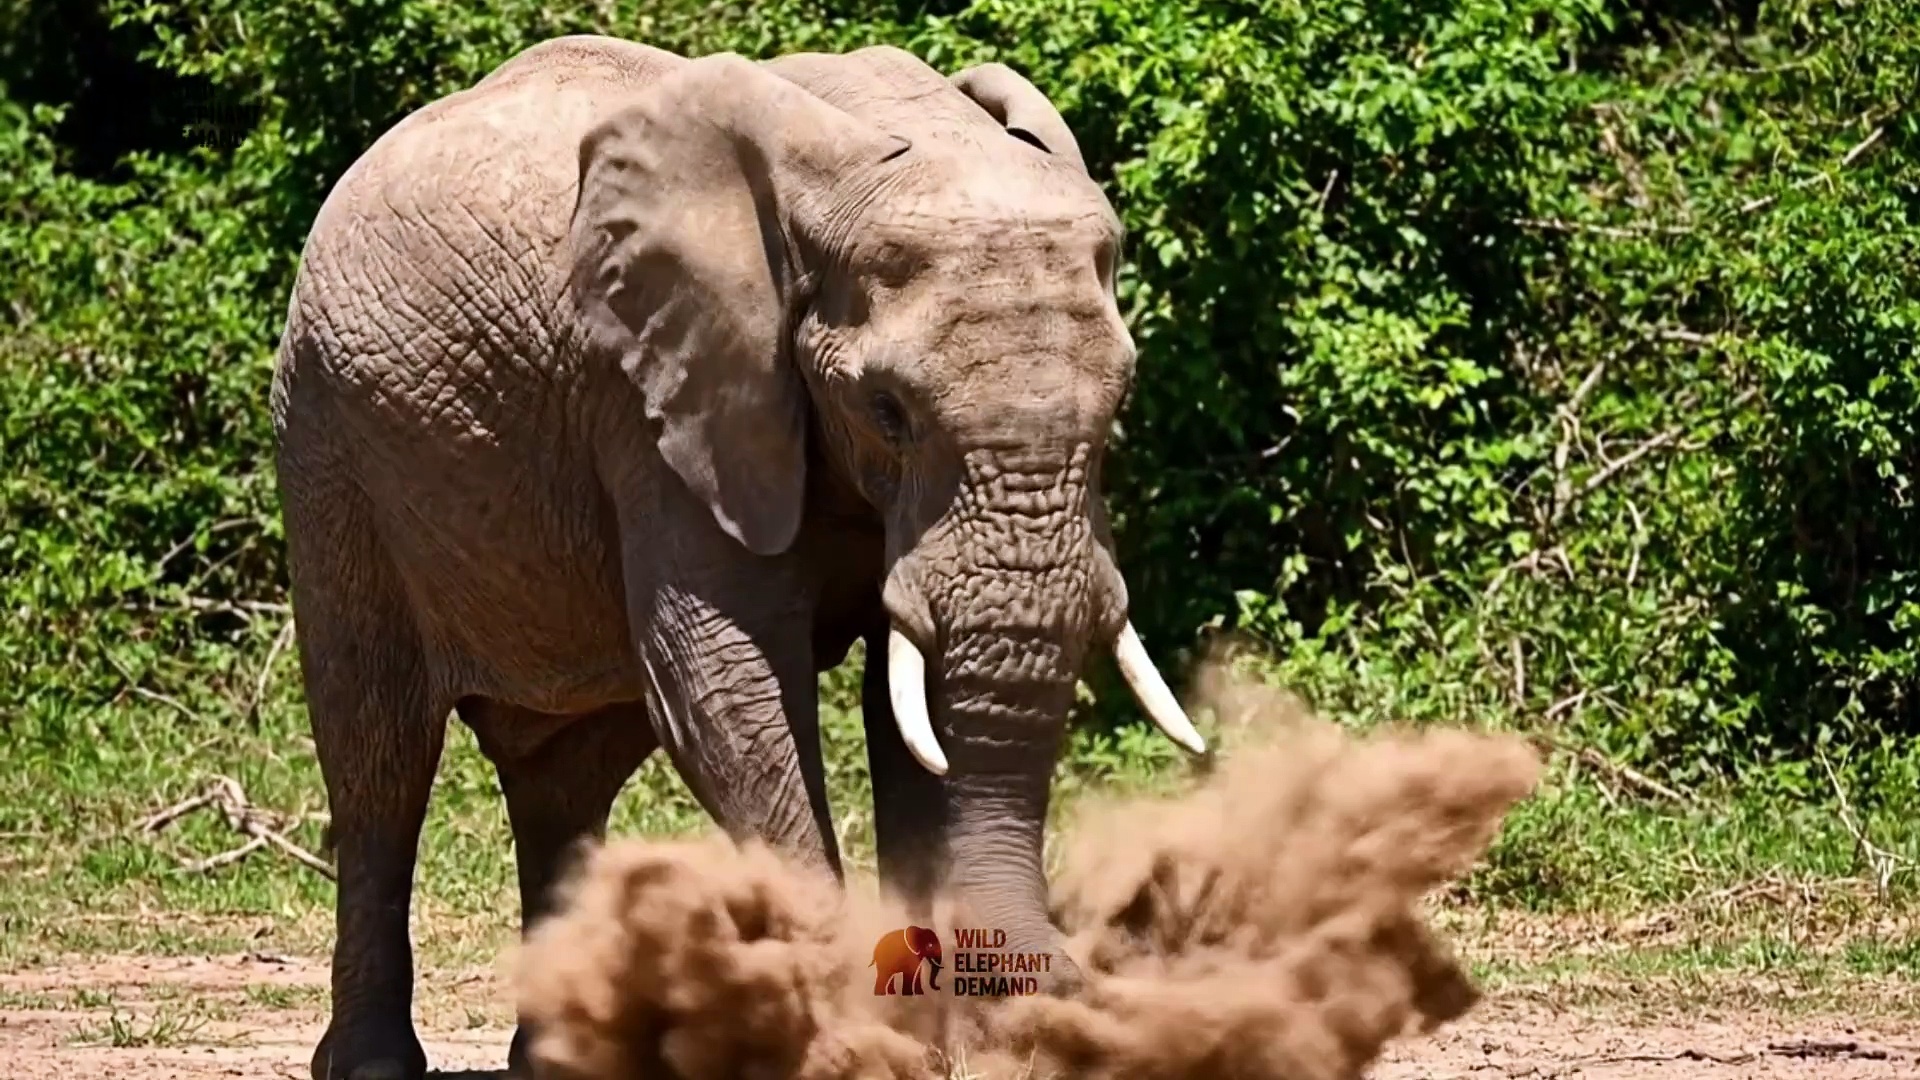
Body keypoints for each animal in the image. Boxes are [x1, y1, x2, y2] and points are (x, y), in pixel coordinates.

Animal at [270, 33, 1207, 1080]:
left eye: (1121, 402)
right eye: (888, 410)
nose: (1069, 992)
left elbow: (903, 712)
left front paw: (932, 1038)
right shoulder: (653, 395)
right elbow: (722, 676)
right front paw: (852, 1043)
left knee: (564, 776)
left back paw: (565, 1056)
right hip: (328, 449)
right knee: (380, 757)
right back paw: (376, 1062)